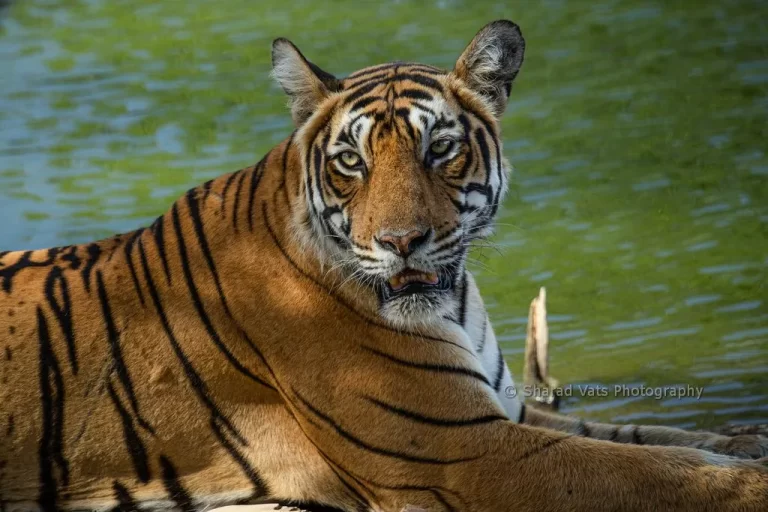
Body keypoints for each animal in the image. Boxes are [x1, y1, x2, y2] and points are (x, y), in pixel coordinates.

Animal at [1, 19, 767, 512]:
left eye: (439, 149)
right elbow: (664, 472)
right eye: (352, 160)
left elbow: (658, 438)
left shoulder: (503, 411)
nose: (401, 241)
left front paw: (745, 438)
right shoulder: (468, 454)